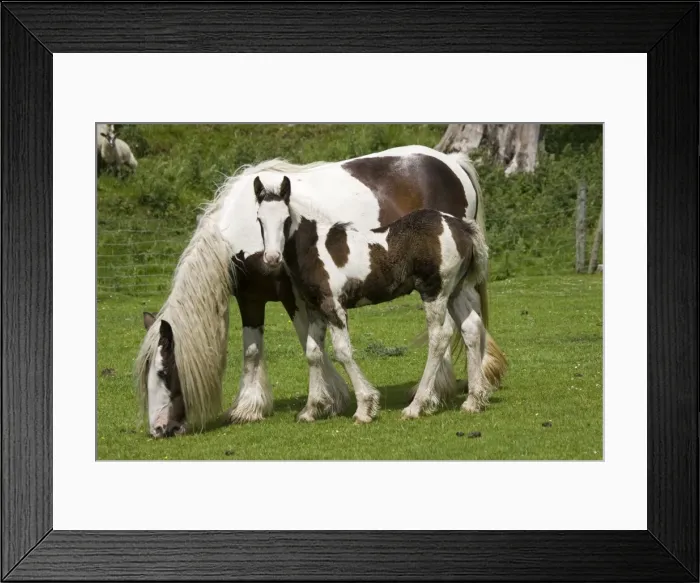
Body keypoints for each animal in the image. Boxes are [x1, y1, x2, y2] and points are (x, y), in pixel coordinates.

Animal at [254, 175, 495, 421]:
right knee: (471, 327)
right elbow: (313, 353)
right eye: (259, 220)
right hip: (455, 291)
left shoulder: (334, 306)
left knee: (440, 336)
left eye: (285, 220)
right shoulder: (316, 309)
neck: (315, 248)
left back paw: (416, 406)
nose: (272, 258)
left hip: (434, 292)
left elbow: (343, 352)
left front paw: (364, 407)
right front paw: (311, 410)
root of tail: (462, 227)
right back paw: (473, 401)